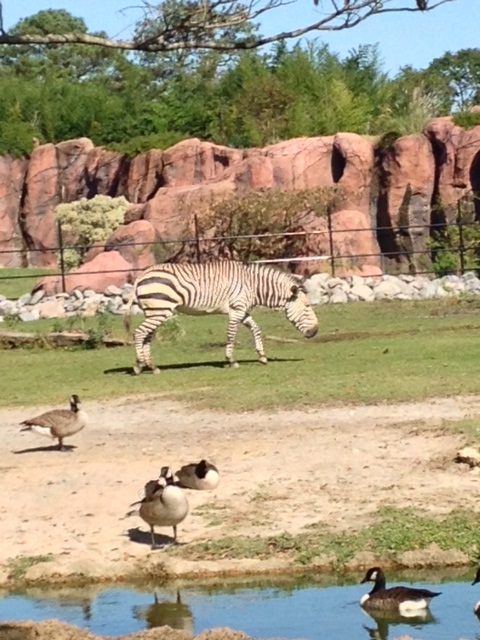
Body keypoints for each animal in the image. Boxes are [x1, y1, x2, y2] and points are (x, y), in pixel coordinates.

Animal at [124, 262, 318, 374]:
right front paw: (231, 361)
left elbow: (256, 329)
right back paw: (139, 365)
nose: (315, 332)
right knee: (138, 333)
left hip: (154, 311)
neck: (253, 286)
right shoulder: (236, 310)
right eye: (307, 306)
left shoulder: (243, 311)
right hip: (159, 309)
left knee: (146, 336)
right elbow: (231, 335)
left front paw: (262, 356)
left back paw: (151, 366)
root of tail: (141, 276)